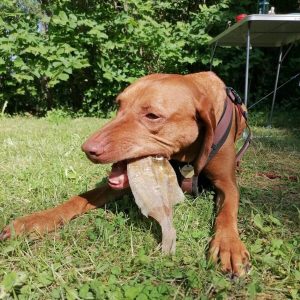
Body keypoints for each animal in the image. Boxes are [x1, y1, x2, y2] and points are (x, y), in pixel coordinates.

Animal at [0, 72, 248, 276]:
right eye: (118, 106)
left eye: (152, 116)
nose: (87, 149)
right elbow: (81, 198)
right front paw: (36, 220)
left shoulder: (227, 184)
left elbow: (227, 211)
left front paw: (228, 245)